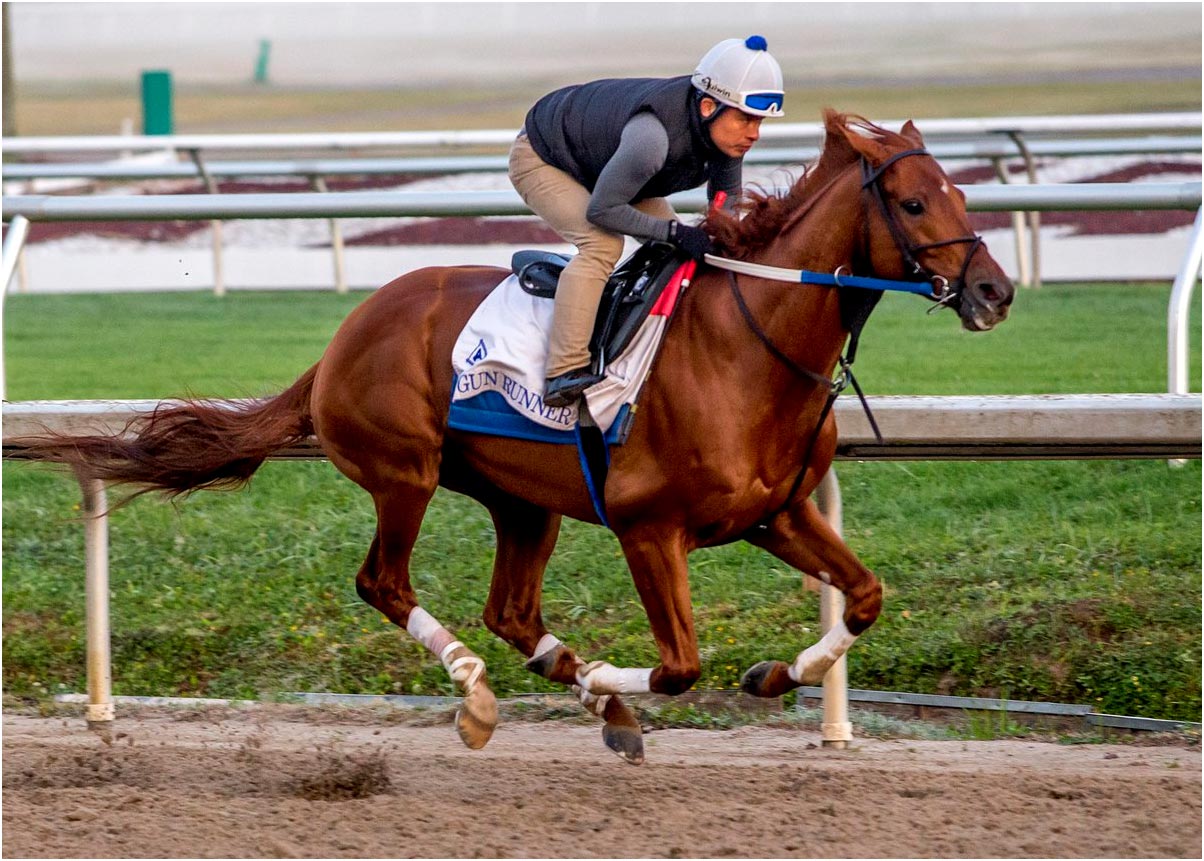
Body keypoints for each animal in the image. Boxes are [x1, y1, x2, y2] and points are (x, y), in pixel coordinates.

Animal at [21, 111, 1016, 765]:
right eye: (915, 204)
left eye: (961, 190)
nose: (995, 292)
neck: (747, 346)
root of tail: (343, 337)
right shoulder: (648, 527)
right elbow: (680, 664)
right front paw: (627, 675)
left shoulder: (778, 513)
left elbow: (866, 597)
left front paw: (776, 671)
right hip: (406, 472)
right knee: (385, 582)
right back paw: (482, 695)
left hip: (523, 500)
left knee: (512, 610)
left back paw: (588, 695)